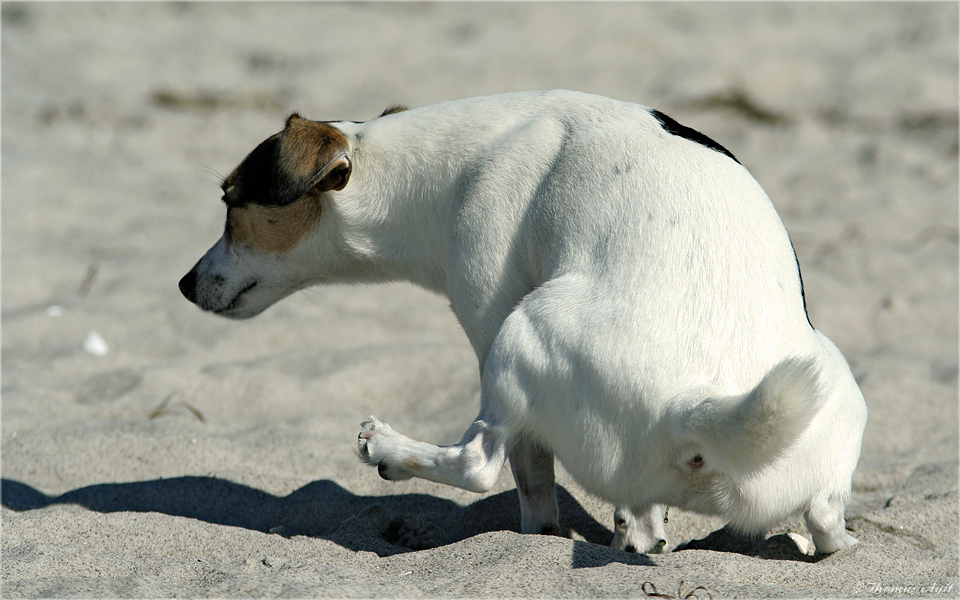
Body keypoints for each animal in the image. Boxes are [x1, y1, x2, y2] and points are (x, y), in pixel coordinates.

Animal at [180, 91, 872, 556]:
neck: (440, 168)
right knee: (819, 529)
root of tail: (693, 403)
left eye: (231, 201)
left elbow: (529, 485)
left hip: (523, 329)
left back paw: (390, 449)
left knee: (477, 463)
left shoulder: (489, 322)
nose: (185, 284)